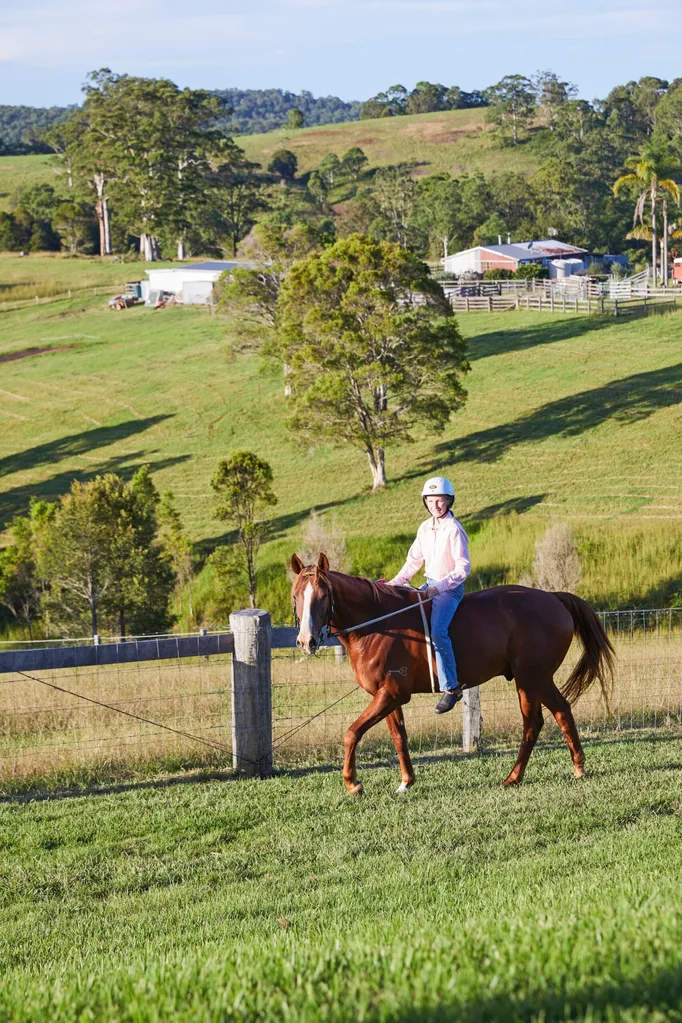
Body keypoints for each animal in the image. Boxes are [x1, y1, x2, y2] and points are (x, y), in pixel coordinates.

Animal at [291, 553, 615, 795]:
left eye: (323, 595)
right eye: (296, 595)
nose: (306, 641)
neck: (379, 623)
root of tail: (553, 598)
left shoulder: (391, 694)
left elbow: (351, 732)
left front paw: (353, 783)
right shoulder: (388, 696)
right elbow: (399, 737)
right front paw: (406, 782)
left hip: (531, 679)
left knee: (539, 721)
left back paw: (522, 776)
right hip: (536, 680)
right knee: (555, 714)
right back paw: (567, 768)